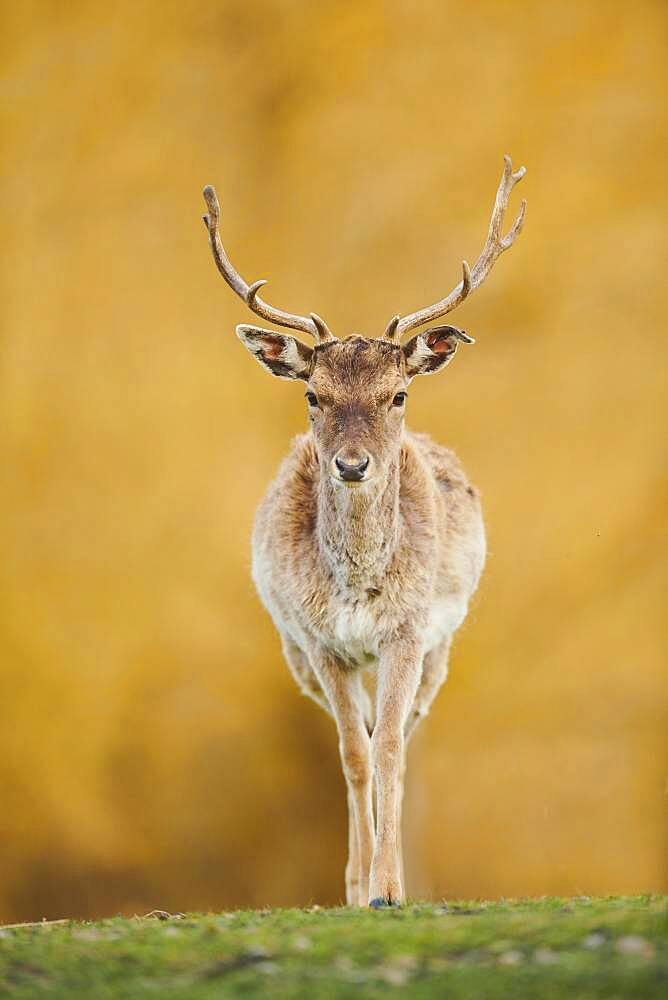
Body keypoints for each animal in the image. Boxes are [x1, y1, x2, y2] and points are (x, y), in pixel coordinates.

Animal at [201, 154, 524, 908]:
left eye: (397, 393)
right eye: (312, 394)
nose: (351, 464)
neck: (358, 587)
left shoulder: (408, 632)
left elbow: (390, 751)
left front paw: (389, 888)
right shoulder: (321, 643)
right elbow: (353, 754)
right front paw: (358, 886)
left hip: (442, 646)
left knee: (400, 731)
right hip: (295, 653)